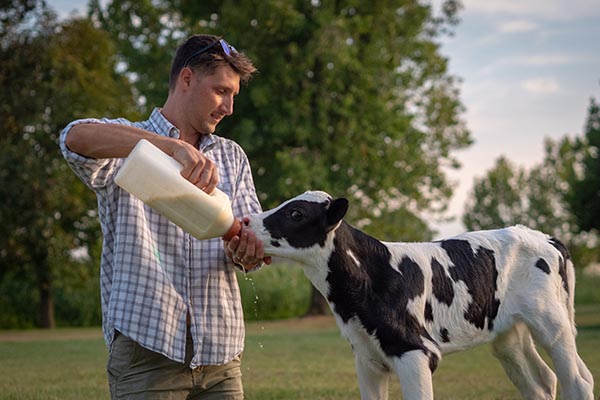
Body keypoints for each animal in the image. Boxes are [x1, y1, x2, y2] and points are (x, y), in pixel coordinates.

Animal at [246, 191, 592, 400]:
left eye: (296, 213)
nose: (247, 221)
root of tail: (545, 236)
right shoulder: (367, 358)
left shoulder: (416, 352)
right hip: (509, 336)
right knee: (542, 383)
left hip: (552, 324)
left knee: (578, 381)